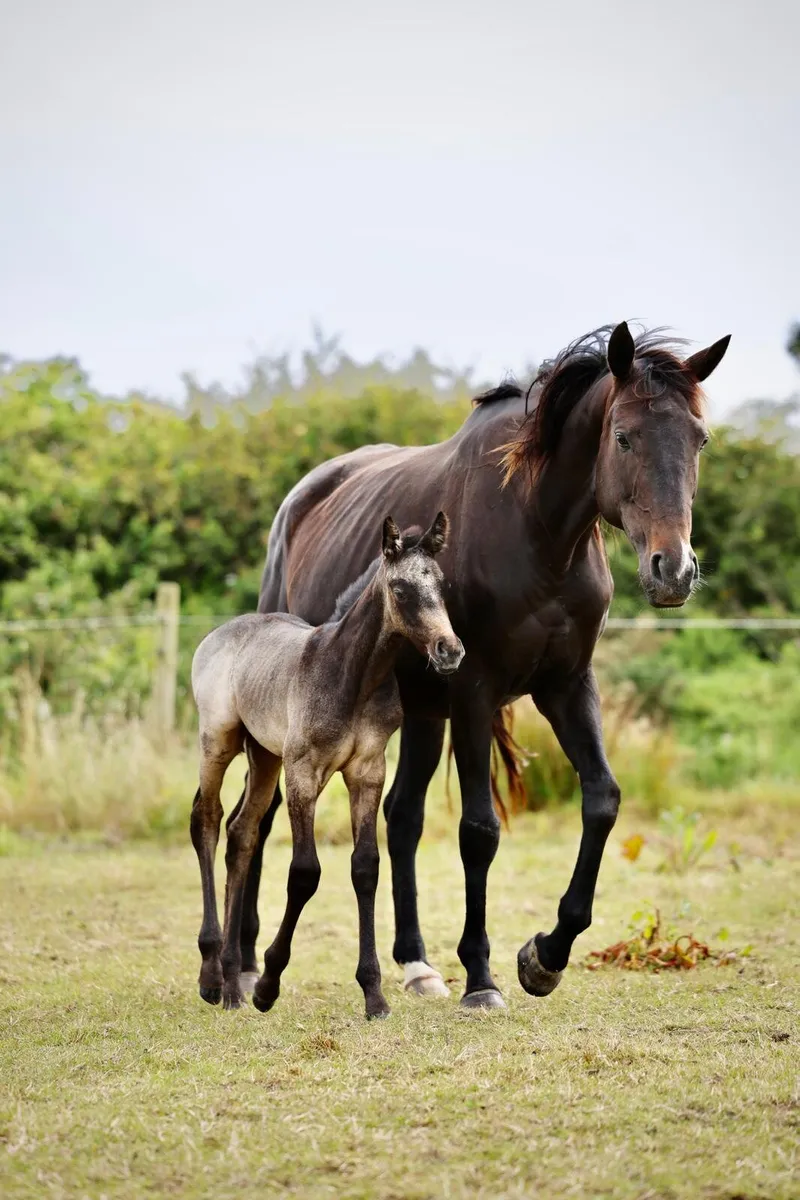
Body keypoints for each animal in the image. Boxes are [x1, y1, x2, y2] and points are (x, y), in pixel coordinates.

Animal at [190, 512, 463, 1017]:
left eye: (440, 583)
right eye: (400, 590)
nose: (449, 650)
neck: (352, 674)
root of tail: (220, 633)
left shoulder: (368, 771)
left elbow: (366, 867)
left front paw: (374, 995)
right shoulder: (303, 771)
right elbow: (305, 872)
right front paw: (268, 985)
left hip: (263, 756)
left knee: (242, 833)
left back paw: (233, 985)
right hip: (218, 742)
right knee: (207, 821)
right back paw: (213, 977)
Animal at [229, 321, 730, 1010]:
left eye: (699, 439)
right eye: (624, 436)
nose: (673, 570)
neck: (536, 531)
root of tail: (300, 500)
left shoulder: (567, 686)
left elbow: (602, 801)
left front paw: (544, 956)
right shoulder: (473, 692)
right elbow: (479, 830)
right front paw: (483, 978)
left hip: (417, 714)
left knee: (401, 817)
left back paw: (416, 965)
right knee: (265, 814)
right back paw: (245, 966)